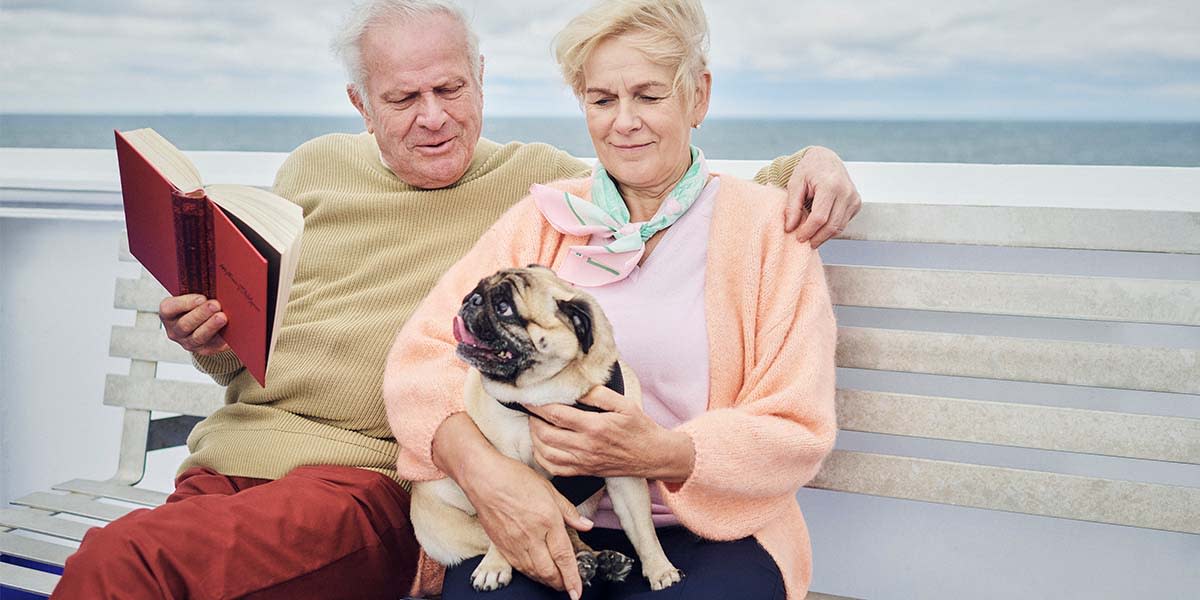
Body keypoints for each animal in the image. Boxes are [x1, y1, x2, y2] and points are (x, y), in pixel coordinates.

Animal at [408, 266, 681, 590]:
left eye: (504, 308)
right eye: (478, 288)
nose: (471, 298)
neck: (547, 396)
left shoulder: (624, 476)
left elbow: (643, 528)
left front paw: (660, 568)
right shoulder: (505, 482)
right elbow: (504, 529)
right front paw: (495, 565)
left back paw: (602, 561)